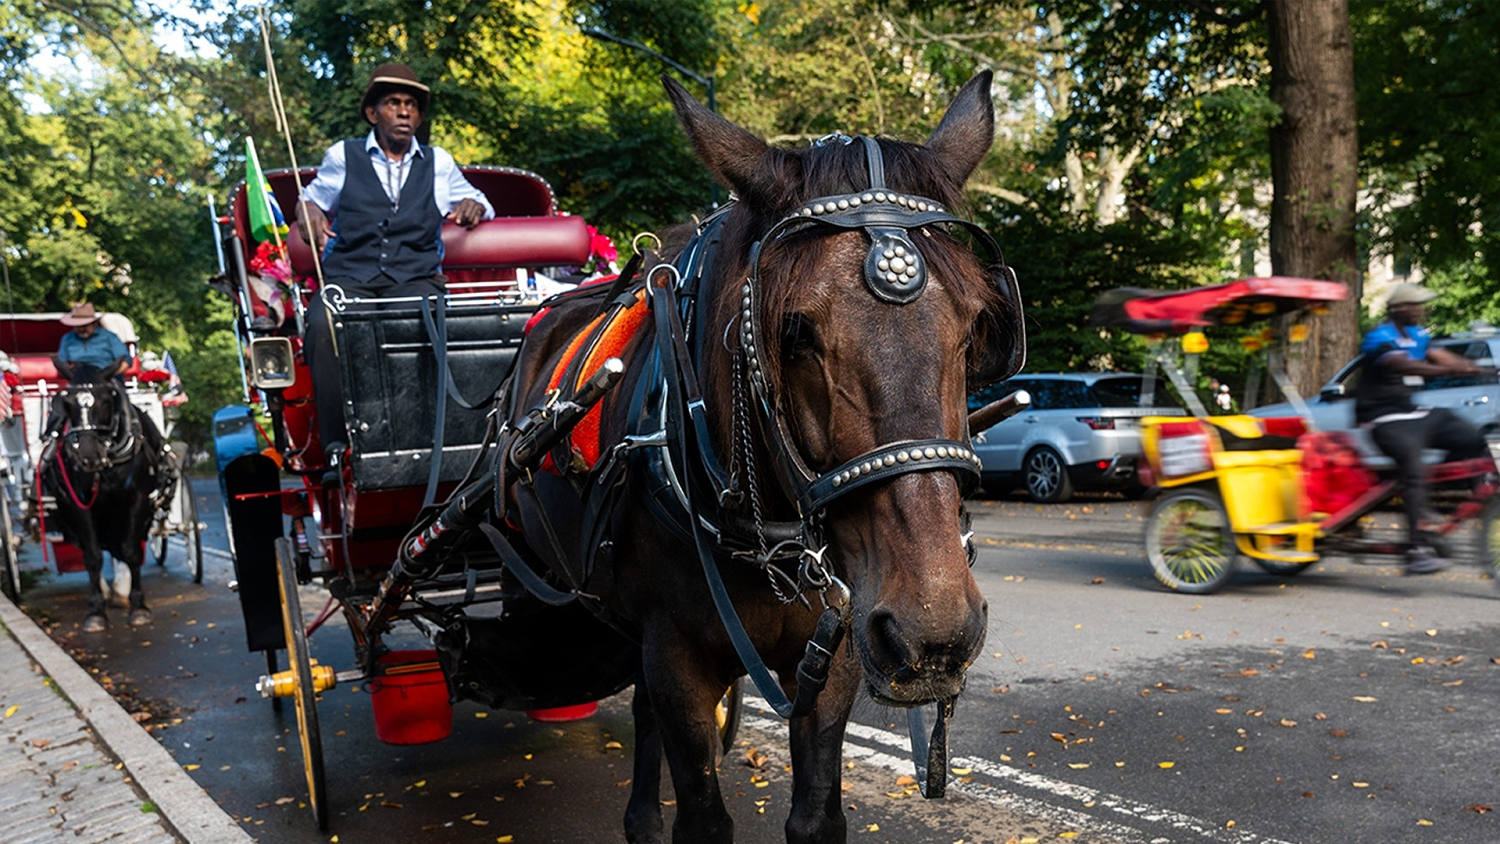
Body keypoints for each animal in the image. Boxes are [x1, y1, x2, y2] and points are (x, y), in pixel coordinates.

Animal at [41, 364, 166, 631]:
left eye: (107, 399)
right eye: (67, 402)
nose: (89, 455)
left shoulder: (138, 498)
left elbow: (130, 550)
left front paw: (139, 606)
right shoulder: (79, 505)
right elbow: (93, 556)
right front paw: (96, 611)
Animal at [497, 71, 1023, 843]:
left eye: (978, 325)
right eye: (795, 331)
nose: (933, 631)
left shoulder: (837, 650)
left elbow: (815, 816)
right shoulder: (676, 658)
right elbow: (702, 815)